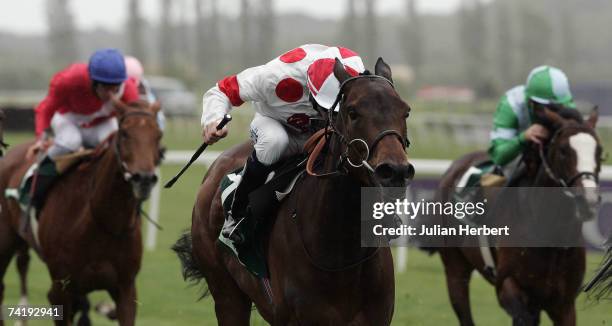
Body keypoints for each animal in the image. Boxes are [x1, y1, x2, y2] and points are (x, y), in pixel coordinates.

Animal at [0, 100, 163, 324]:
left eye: (158, 135)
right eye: (124, 133)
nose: (144, 179)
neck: (103, 221)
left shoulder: (126, 288)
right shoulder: (60, 288)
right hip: (7, 238)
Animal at [175, 58, 414, 324]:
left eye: (405, 111)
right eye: (353, 112)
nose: (395, 172)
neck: (341, 252)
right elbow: (230, 88)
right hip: (227, 293)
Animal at [436, 105, 604, 324]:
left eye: (599, 152)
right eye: (563, 150)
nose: (589, 200)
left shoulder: (564, 305)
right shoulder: (509, 287)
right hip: (455, 269)